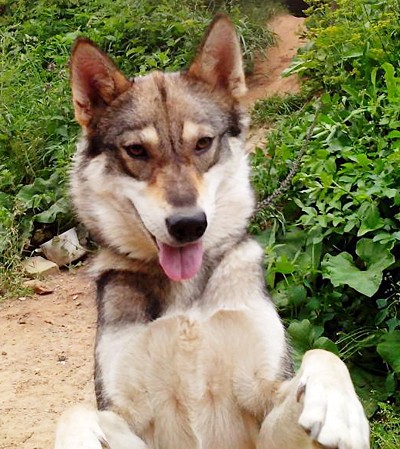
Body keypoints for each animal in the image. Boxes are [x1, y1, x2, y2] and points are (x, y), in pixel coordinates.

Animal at [55, 14, 369, 449]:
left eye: (203, 143)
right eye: (136, 151)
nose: (188, 224)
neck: (186, 298)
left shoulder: (263, 399)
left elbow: (324, 355)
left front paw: (340, 407)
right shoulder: (130, 416)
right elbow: (74, 410)